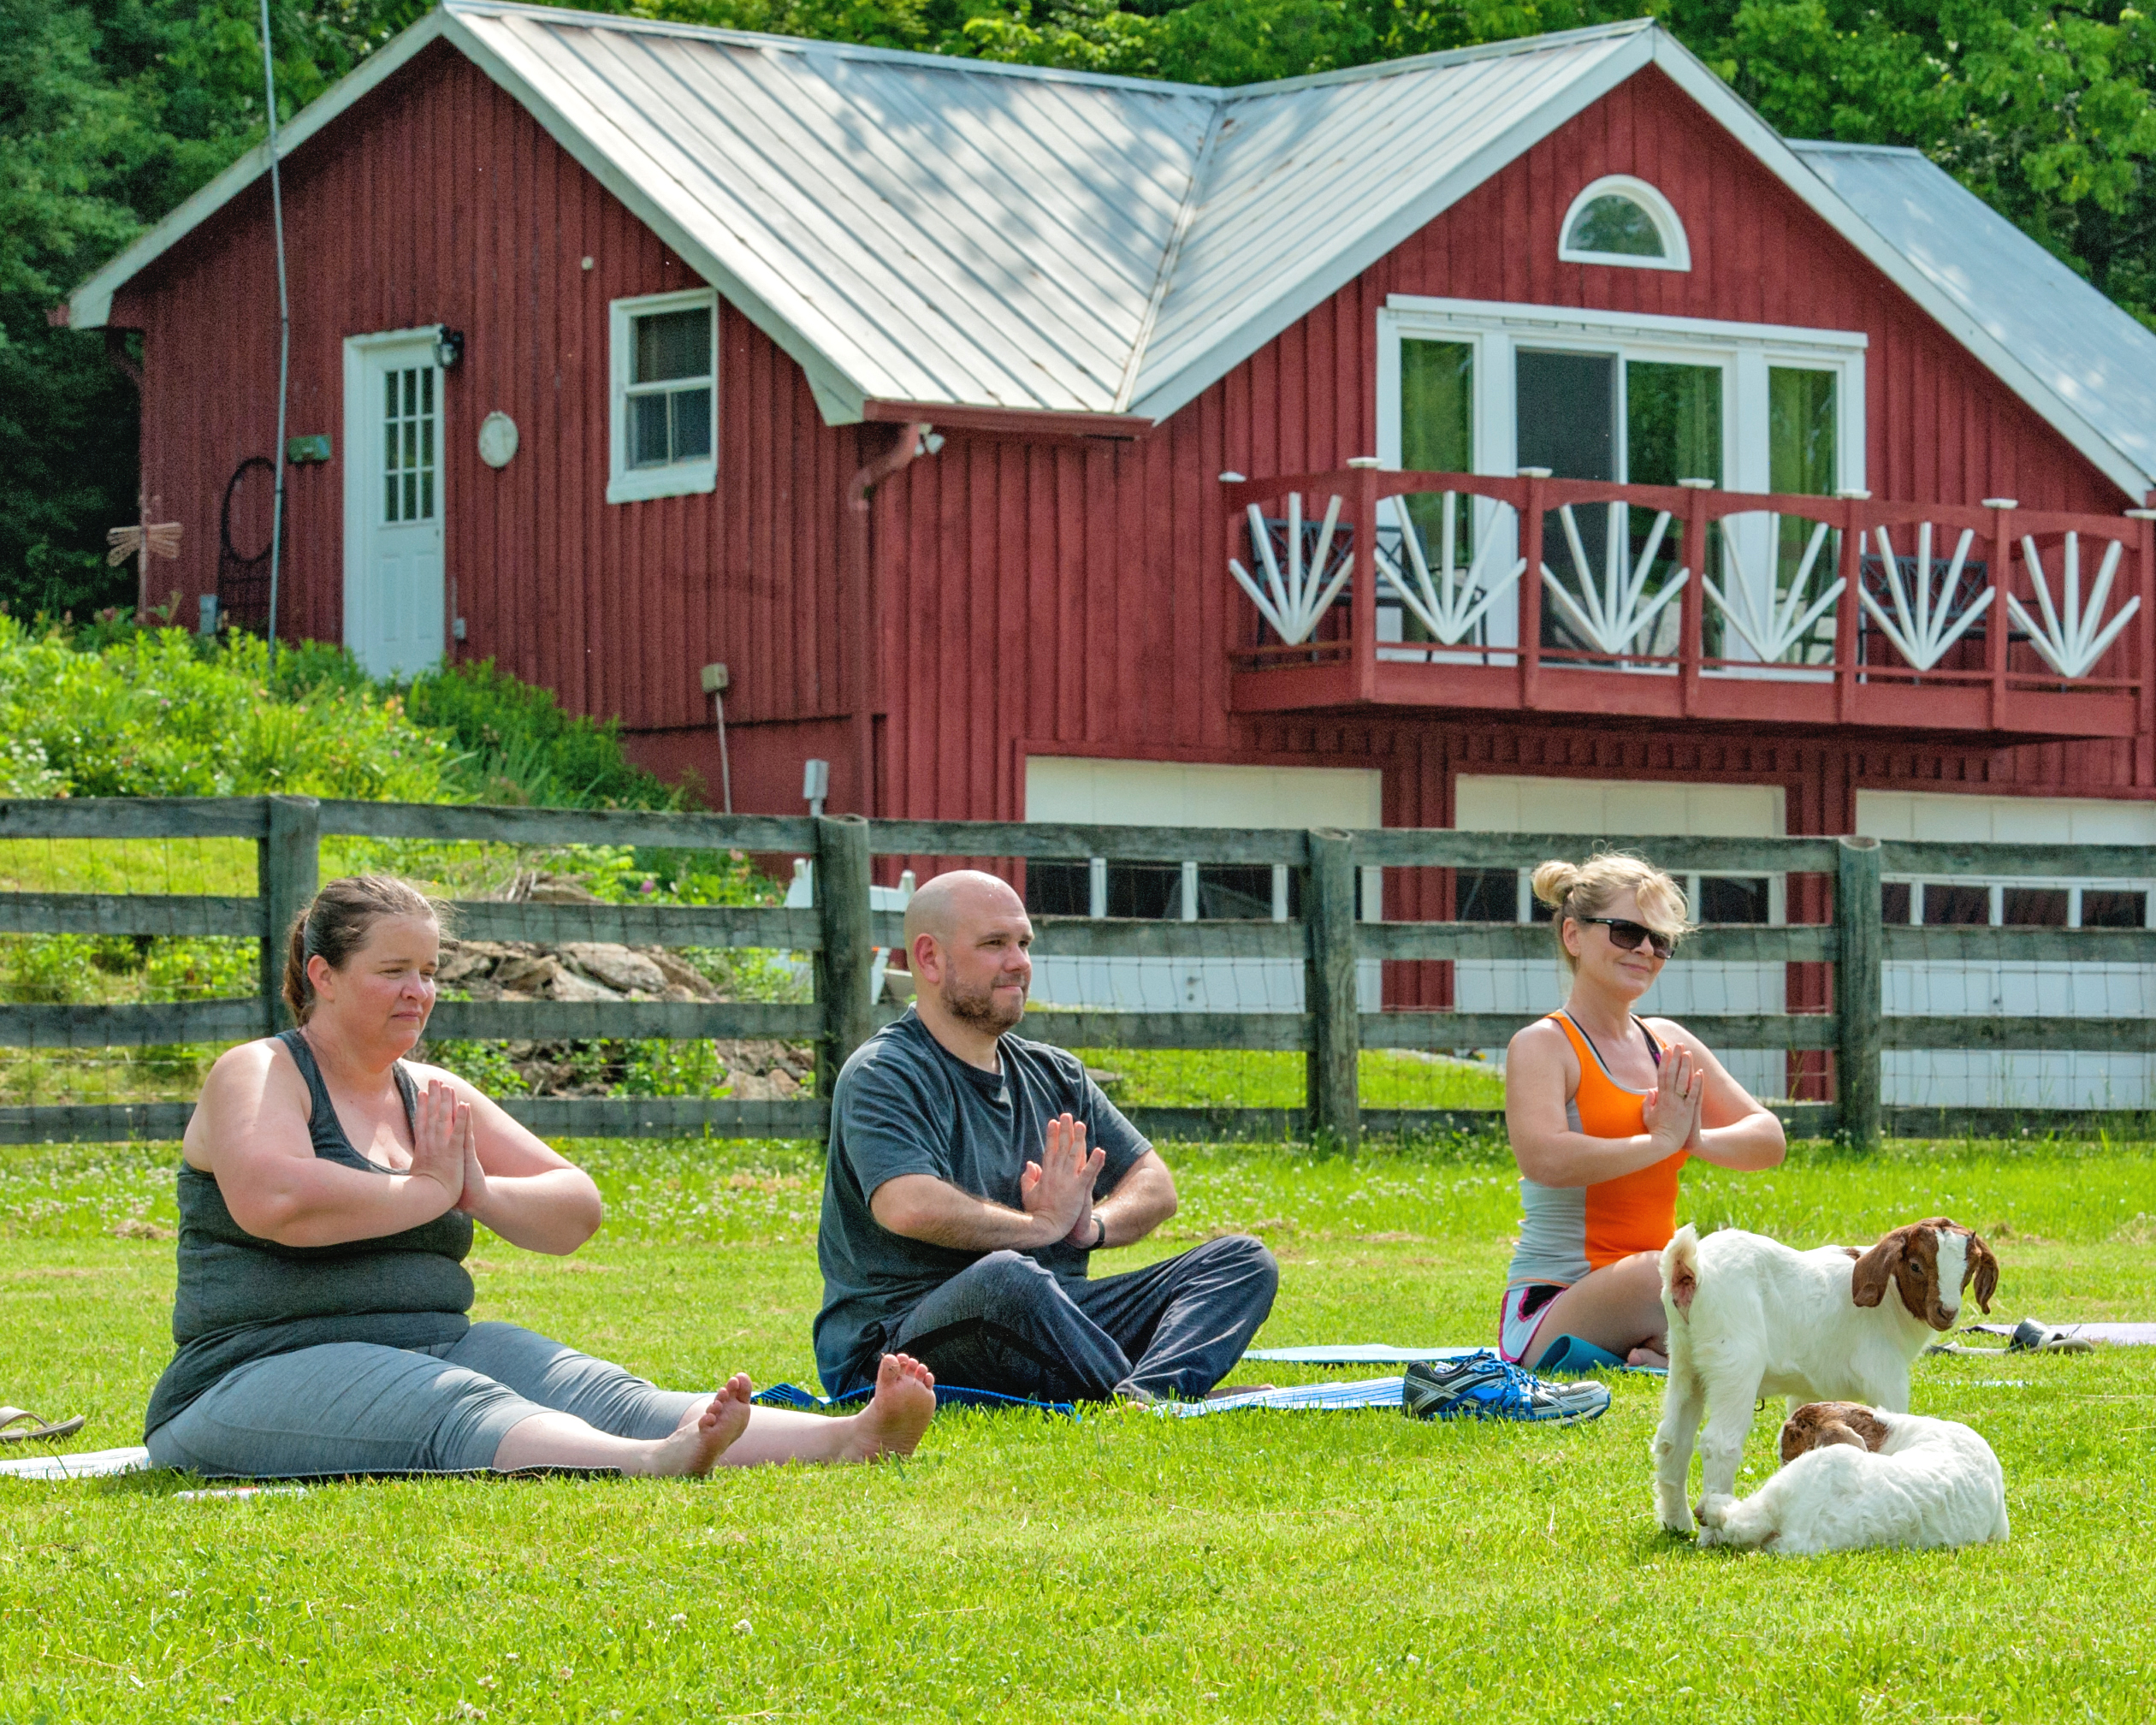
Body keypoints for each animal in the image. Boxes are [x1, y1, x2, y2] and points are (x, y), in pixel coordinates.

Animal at [1647, 1216, 2000, 1535]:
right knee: (1720, 1443)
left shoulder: (1807, 1392)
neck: (1891, 1300)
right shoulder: (1885, 1373)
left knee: (1672, 1440)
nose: (1947, 1313)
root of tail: (1689, 1266)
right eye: (1915, 1265)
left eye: (1969, 1268)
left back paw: (1677, 1524)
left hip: (1685, 1360)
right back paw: (1711, 1533)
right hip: (1734, 1362)